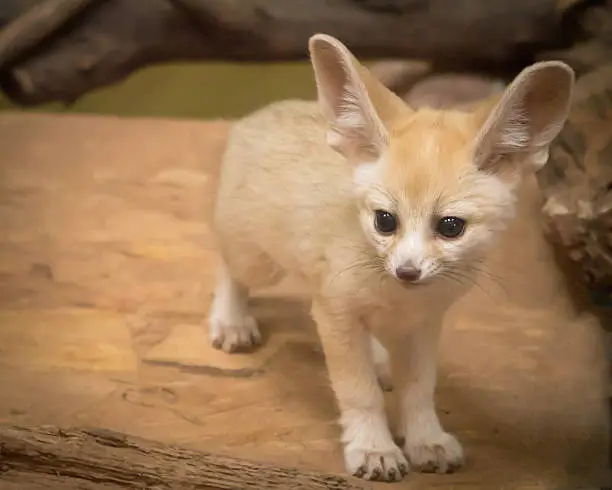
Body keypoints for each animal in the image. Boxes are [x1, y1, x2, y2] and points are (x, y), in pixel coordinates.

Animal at [207, 34, 572, 482]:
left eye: (450, 227)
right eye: (385, 220)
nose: (407, 271)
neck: (400, 297)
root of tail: (263, 111)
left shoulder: (424, 323)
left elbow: (419, 390)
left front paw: (426, 439)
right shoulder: (335, 313)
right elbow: (358, 391)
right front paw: (373, 447)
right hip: (257, 260)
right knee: (227, 266)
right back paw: (231, 319)